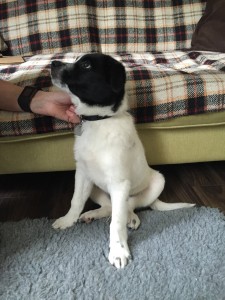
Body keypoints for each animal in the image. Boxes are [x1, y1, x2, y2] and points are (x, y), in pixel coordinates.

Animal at [50, 54, 194, 270]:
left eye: (86, 65)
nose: (53, 64)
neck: (99, 121)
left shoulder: (119, 183)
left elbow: (116, 222)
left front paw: (118, 251)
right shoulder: (82, 174)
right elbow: (76, 200)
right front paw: (68, 220)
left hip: (157, 181)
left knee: (129, 206)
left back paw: (131, 218)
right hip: (96, 187)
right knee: (109, 205)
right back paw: (92, 214)